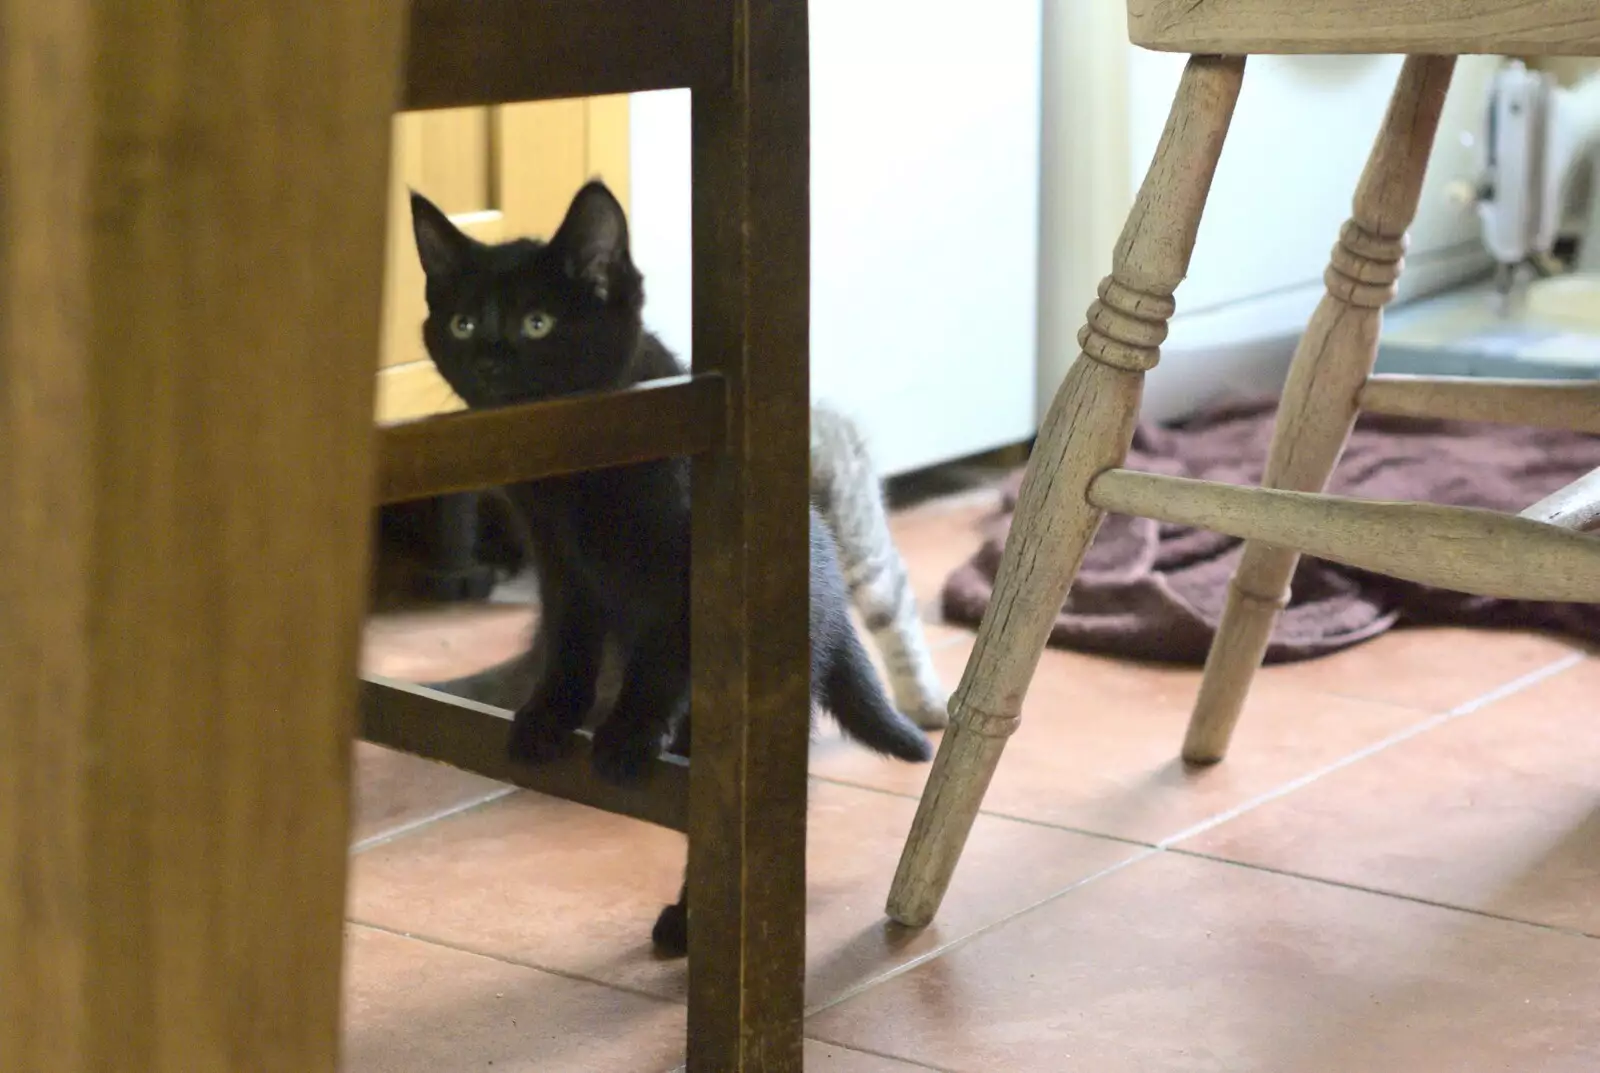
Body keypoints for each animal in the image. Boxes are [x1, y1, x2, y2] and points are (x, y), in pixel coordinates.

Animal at [412, 182, 934, 933]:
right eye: (461, 324)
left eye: (538, 322)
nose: (488, 361)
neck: (571, 481)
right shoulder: (563, 572)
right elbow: (570, 646)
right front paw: (548, 717)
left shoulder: (681, 582)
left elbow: (657, 665)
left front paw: (626, 736)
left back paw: (690, 917)